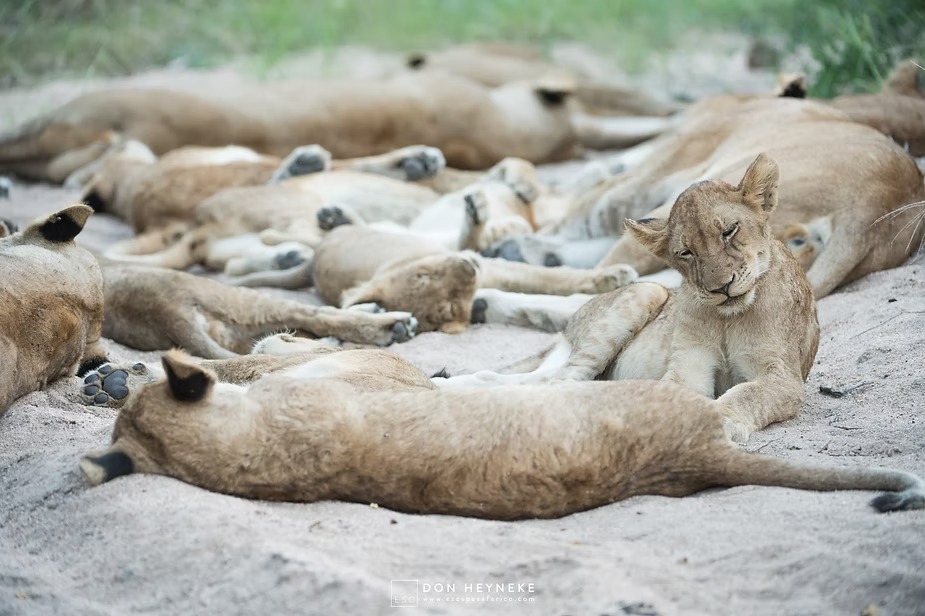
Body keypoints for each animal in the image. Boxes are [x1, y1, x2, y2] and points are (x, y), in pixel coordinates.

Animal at [440, 154, 820, 445]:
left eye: (729, 231)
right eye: (685, 252)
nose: (720, 288)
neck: (728, 318)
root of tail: (569, 330)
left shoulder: (782, 376)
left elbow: (746, 394)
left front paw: (720, 420)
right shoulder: (689, 364)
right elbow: (678, 391)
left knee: (518, 381)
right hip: (644, 292)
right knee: (558, 381)